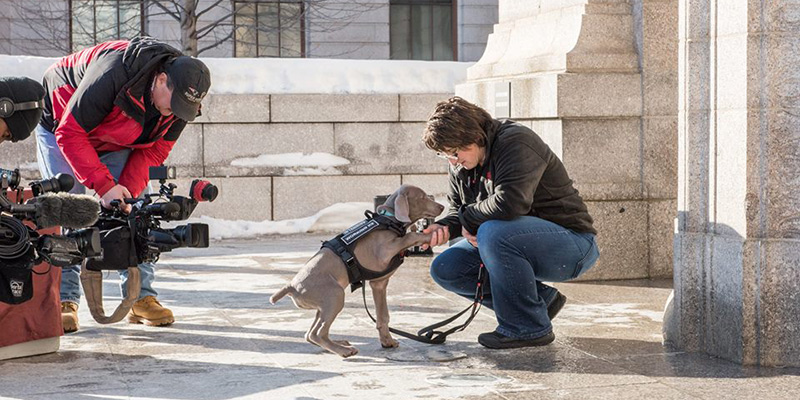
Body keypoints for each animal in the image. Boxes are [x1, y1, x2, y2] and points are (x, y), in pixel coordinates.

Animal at [270, 186, 444, 358]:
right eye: (422, 197)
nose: (442, 207)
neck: (389, 220)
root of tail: (291, 286)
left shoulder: (379, 284)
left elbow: (383, 316)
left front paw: (387, 341)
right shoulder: (384, 251)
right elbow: (410, 236)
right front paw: (430, 235)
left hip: (323, 305)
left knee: (310, 334)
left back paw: (340, 343)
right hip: (335, 295)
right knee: (317, 333)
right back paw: (344, 350)